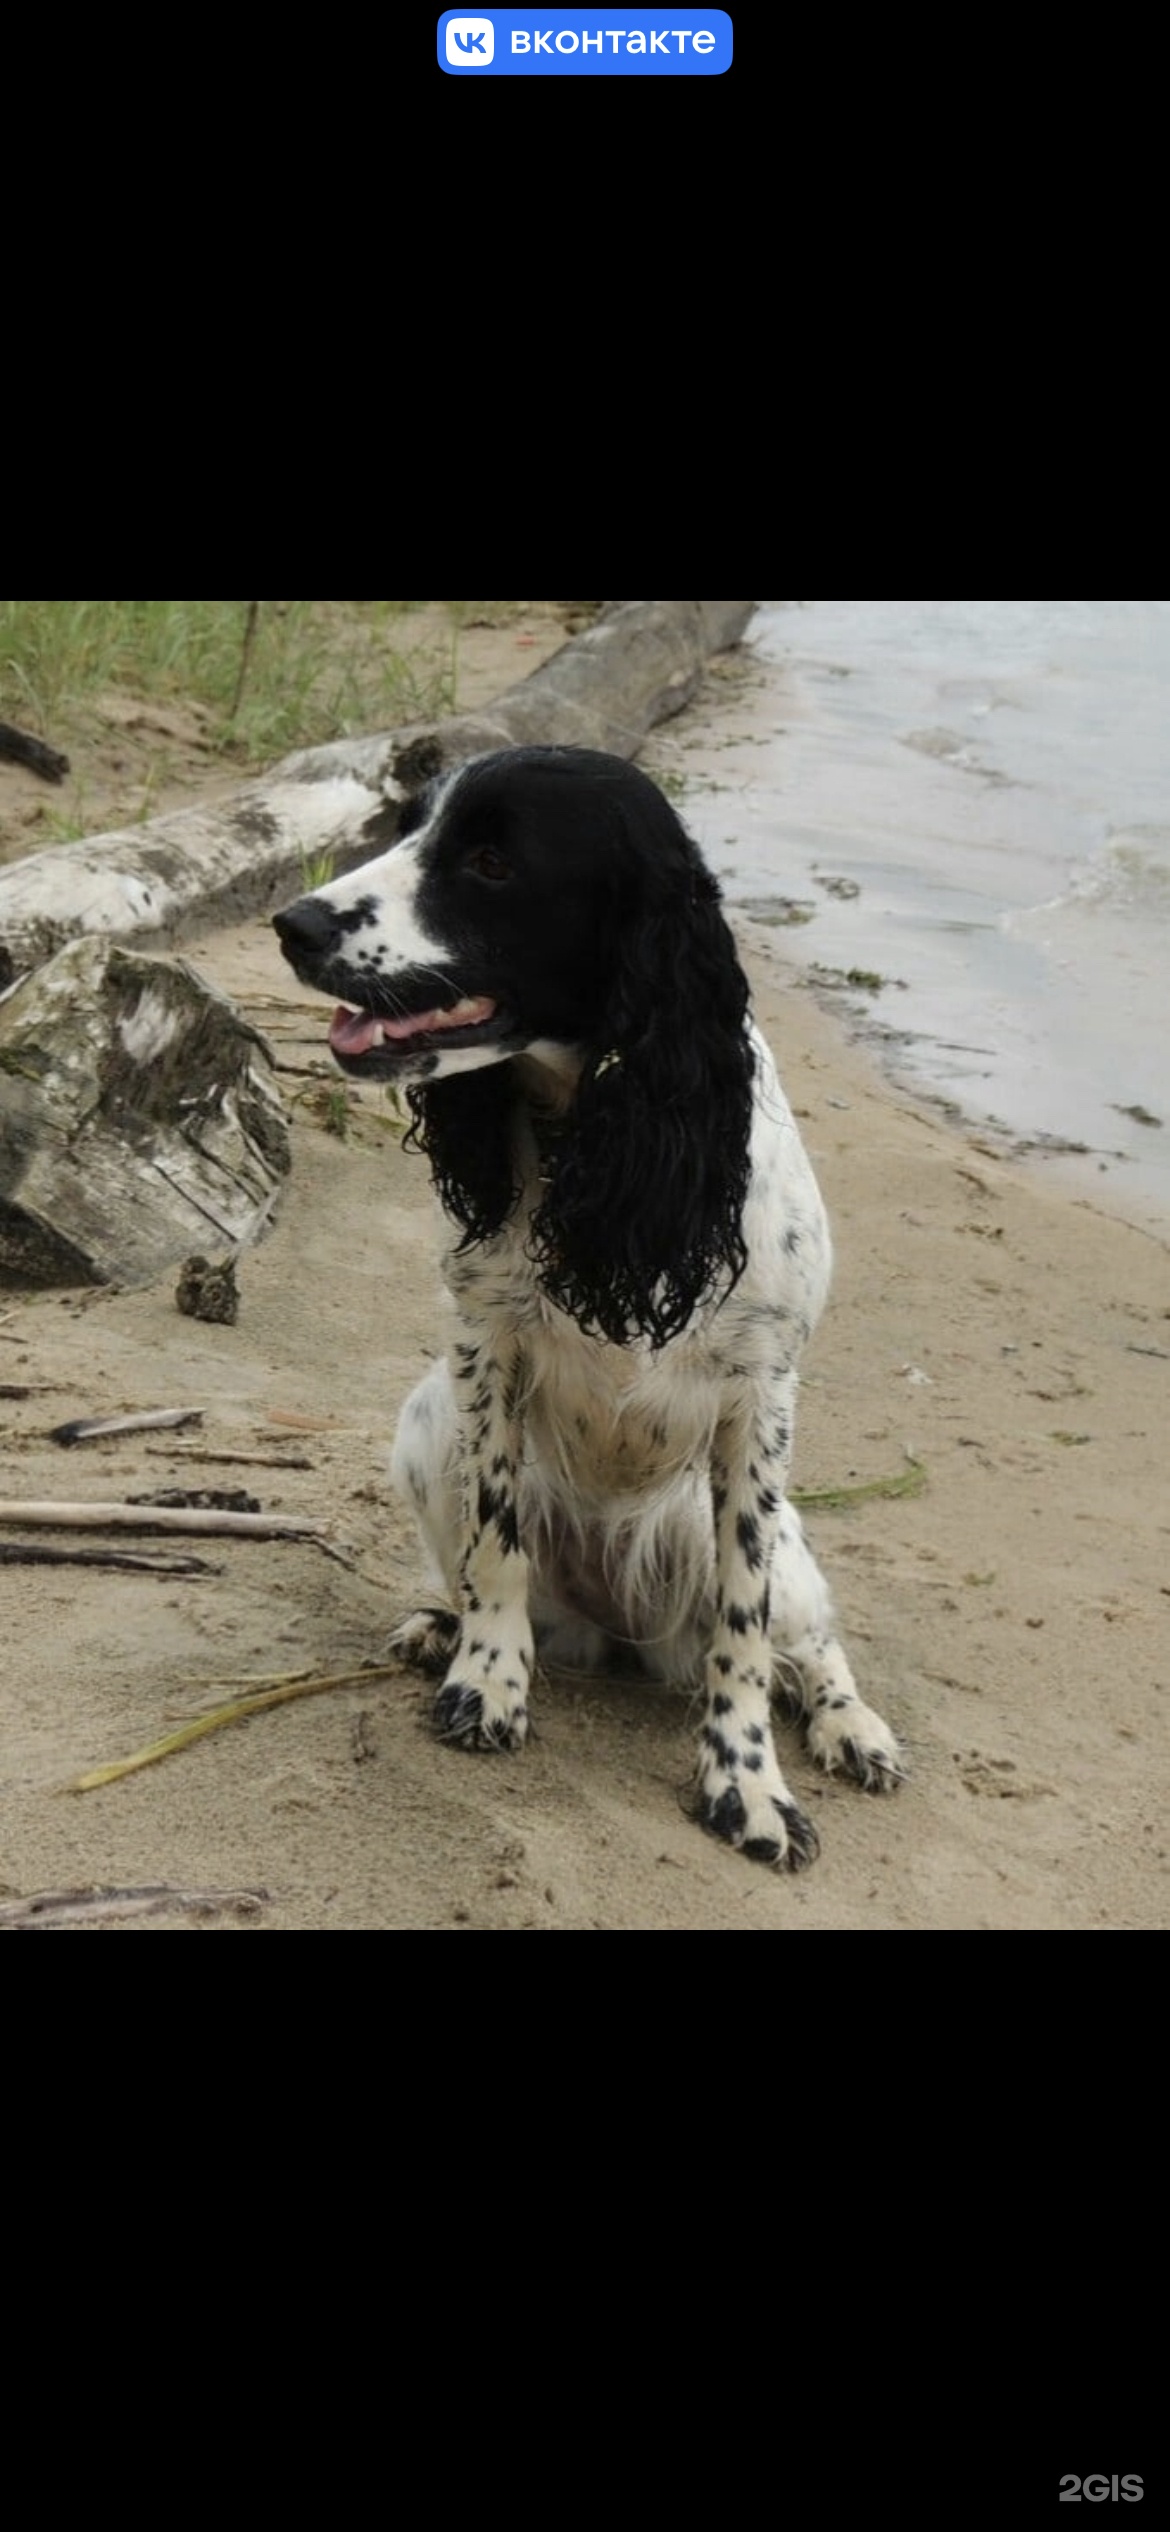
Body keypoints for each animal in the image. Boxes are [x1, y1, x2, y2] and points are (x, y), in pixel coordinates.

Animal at [276, 739, 906, 1873]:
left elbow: (744, 1632)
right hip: (424, 1422)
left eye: (491, 861)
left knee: (811, 1643)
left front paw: (747, 1787)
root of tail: (617, 1636)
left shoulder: (762, 1400)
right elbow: (495, 1543)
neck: (604, 1137)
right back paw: (442, 1626)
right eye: (408, 826)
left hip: (761, 1538)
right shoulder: (482, 1348)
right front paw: (486, 1682)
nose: (292, 923)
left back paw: (852, 1727)